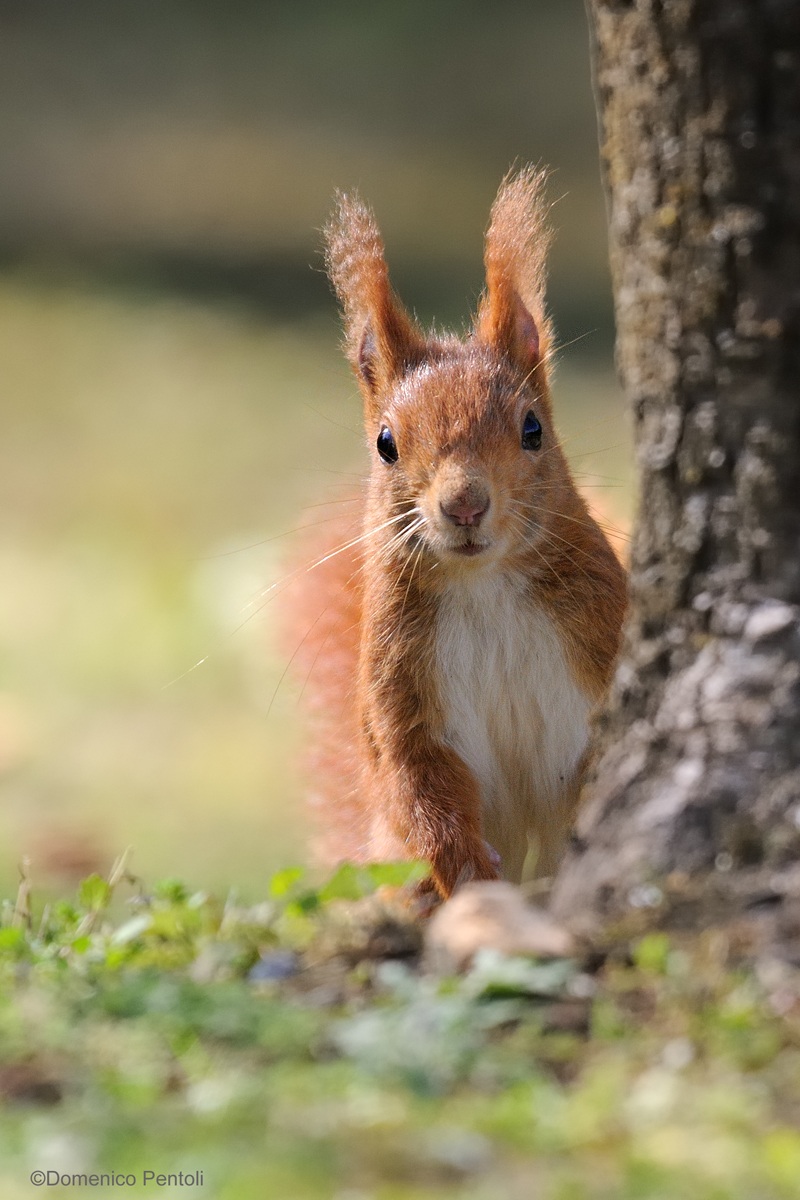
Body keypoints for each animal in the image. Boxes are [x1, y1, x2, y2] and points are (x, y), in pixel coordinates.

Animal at [285, 167, 627, 900]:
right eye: (385, 443)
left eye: (533, 429)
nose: (465, 505)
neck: (485, 584)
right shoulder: (400, 691)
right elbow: (417, 786)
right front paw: (470, 870)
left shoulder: (604, 635)